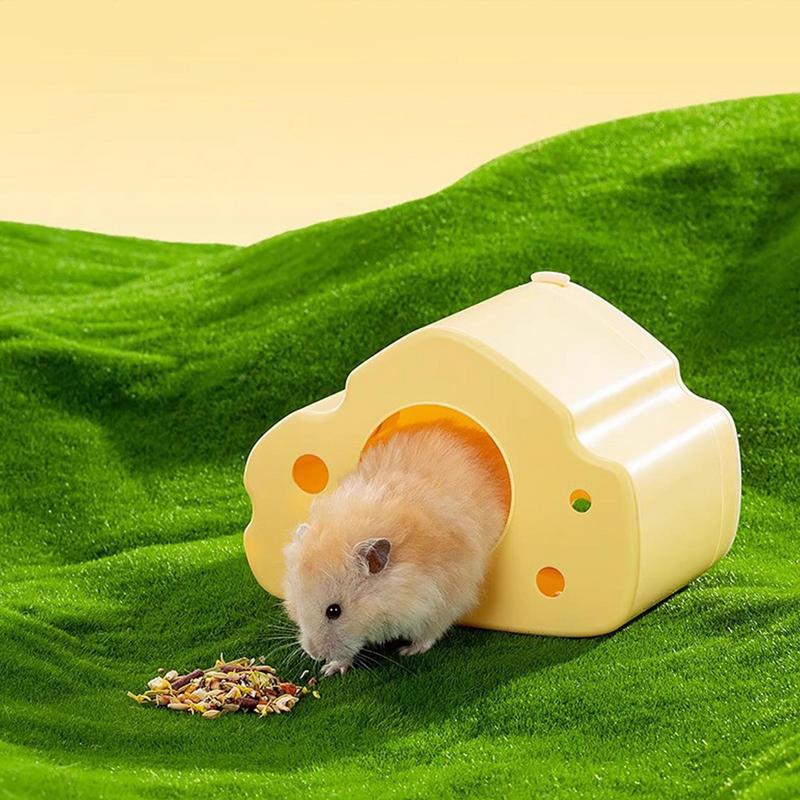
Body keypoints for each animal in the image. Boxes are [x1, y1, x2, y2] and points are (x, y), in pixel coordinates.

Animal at [282, 422, 508, 677]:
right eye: (297, 604)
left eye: (334, 611)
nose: (314, 655)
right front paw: (331, 669)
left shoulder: (444, 598)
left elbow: (430, 632)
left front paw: (408, 651)